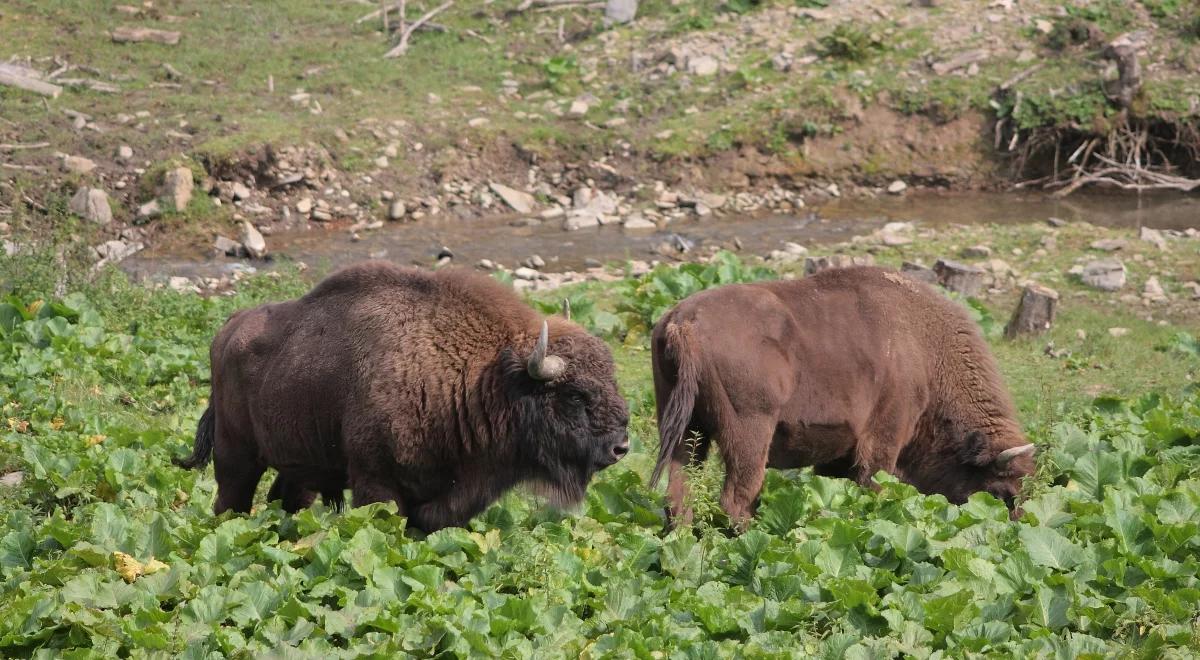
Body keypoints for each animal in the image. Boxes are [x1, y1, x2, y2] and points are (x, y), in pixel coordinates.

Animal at [176, 261, 633, 535]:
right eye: (574, 395)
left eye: (610, 376)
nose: (621, 446)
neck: (481, 377)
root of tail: (228, 329)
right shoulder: (376, 485)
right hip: (236, 456)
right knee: (230, 501)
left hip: (299, 462)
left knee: (287, 499)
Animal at [652, 266, 1036, 530]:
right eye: (1001, 491)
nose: (1016, 528)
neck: (925, 349)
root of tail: (683, 322)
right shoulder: (883, 439)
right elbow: (875, 485)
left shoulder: (838, 455)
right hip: (749, 432)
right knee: (737, 495)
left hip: (686, 429)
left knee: (679, 491)